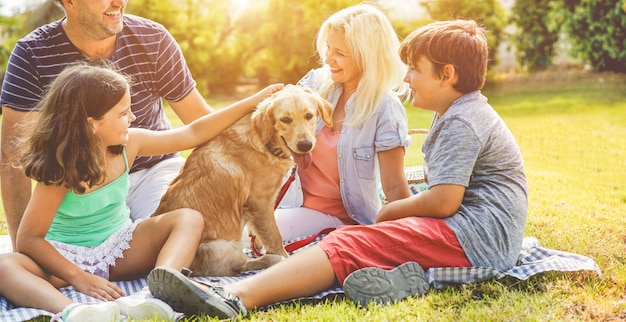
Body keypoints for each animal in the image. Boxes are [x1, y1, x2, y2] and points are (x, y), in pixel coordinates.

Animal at [151, 85, 332, 276]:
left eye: (309, 116)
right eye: (285, 119)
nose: (305, 145)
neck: (264, 142)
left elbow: (261, 231)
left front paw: (258, 243)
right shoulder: (261, 202)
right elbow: (275, 236)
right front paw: (284, 258)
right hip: (225, 247)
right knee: (236, 267)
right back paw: (272, 259)